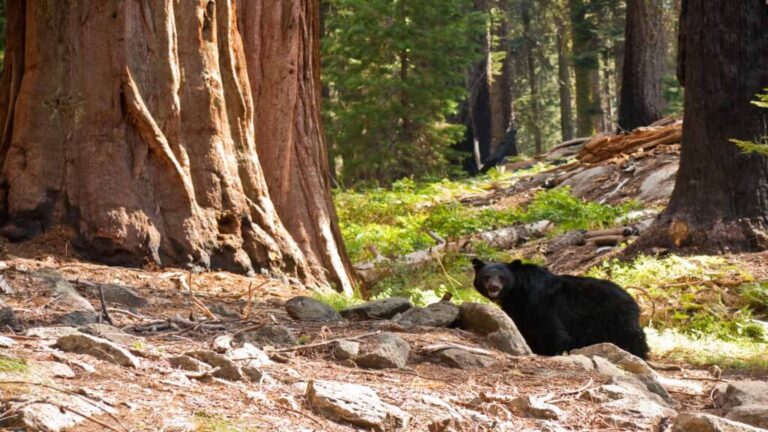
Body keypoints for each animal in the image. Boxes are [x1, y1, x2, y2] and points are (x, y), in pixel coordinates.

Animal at [472, 258, 649, 359]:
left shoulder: (538, 303)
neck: (517, 291)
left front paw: (548, 352)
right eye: (486, 276)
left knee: (633, 340)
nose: (494, 288)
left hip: (616, 321)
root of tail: (634, 302)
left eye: (502, 277)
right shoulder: (518, 310)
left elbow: (552, 331)